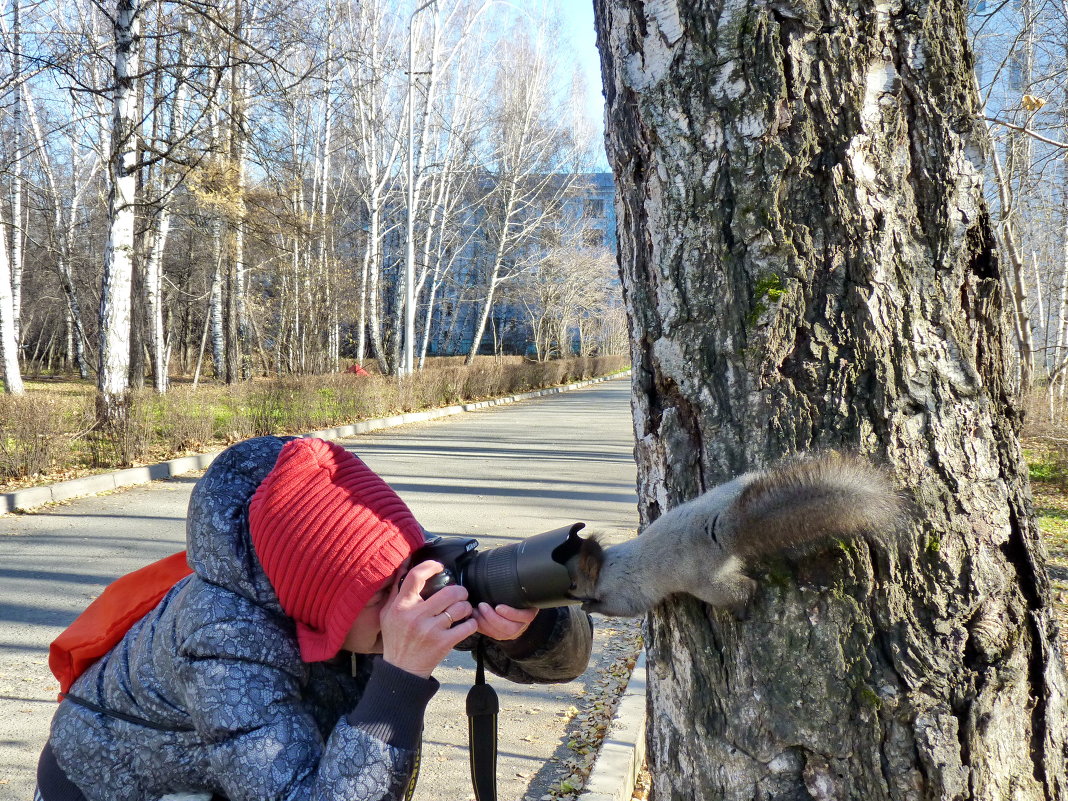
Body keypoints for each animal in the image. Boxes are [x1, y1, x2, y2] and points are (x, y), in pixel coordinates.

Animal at [563, 454, 905, 619]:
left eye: (575, 584)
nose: (569, 595)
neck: (607, 565)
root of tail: (723, 529)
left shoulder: (625, 589)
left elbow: (624, 608)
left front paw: (590, 607)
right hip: (736, 488)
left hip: (708, 582)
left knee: (742, 589)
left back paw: (742, 607)